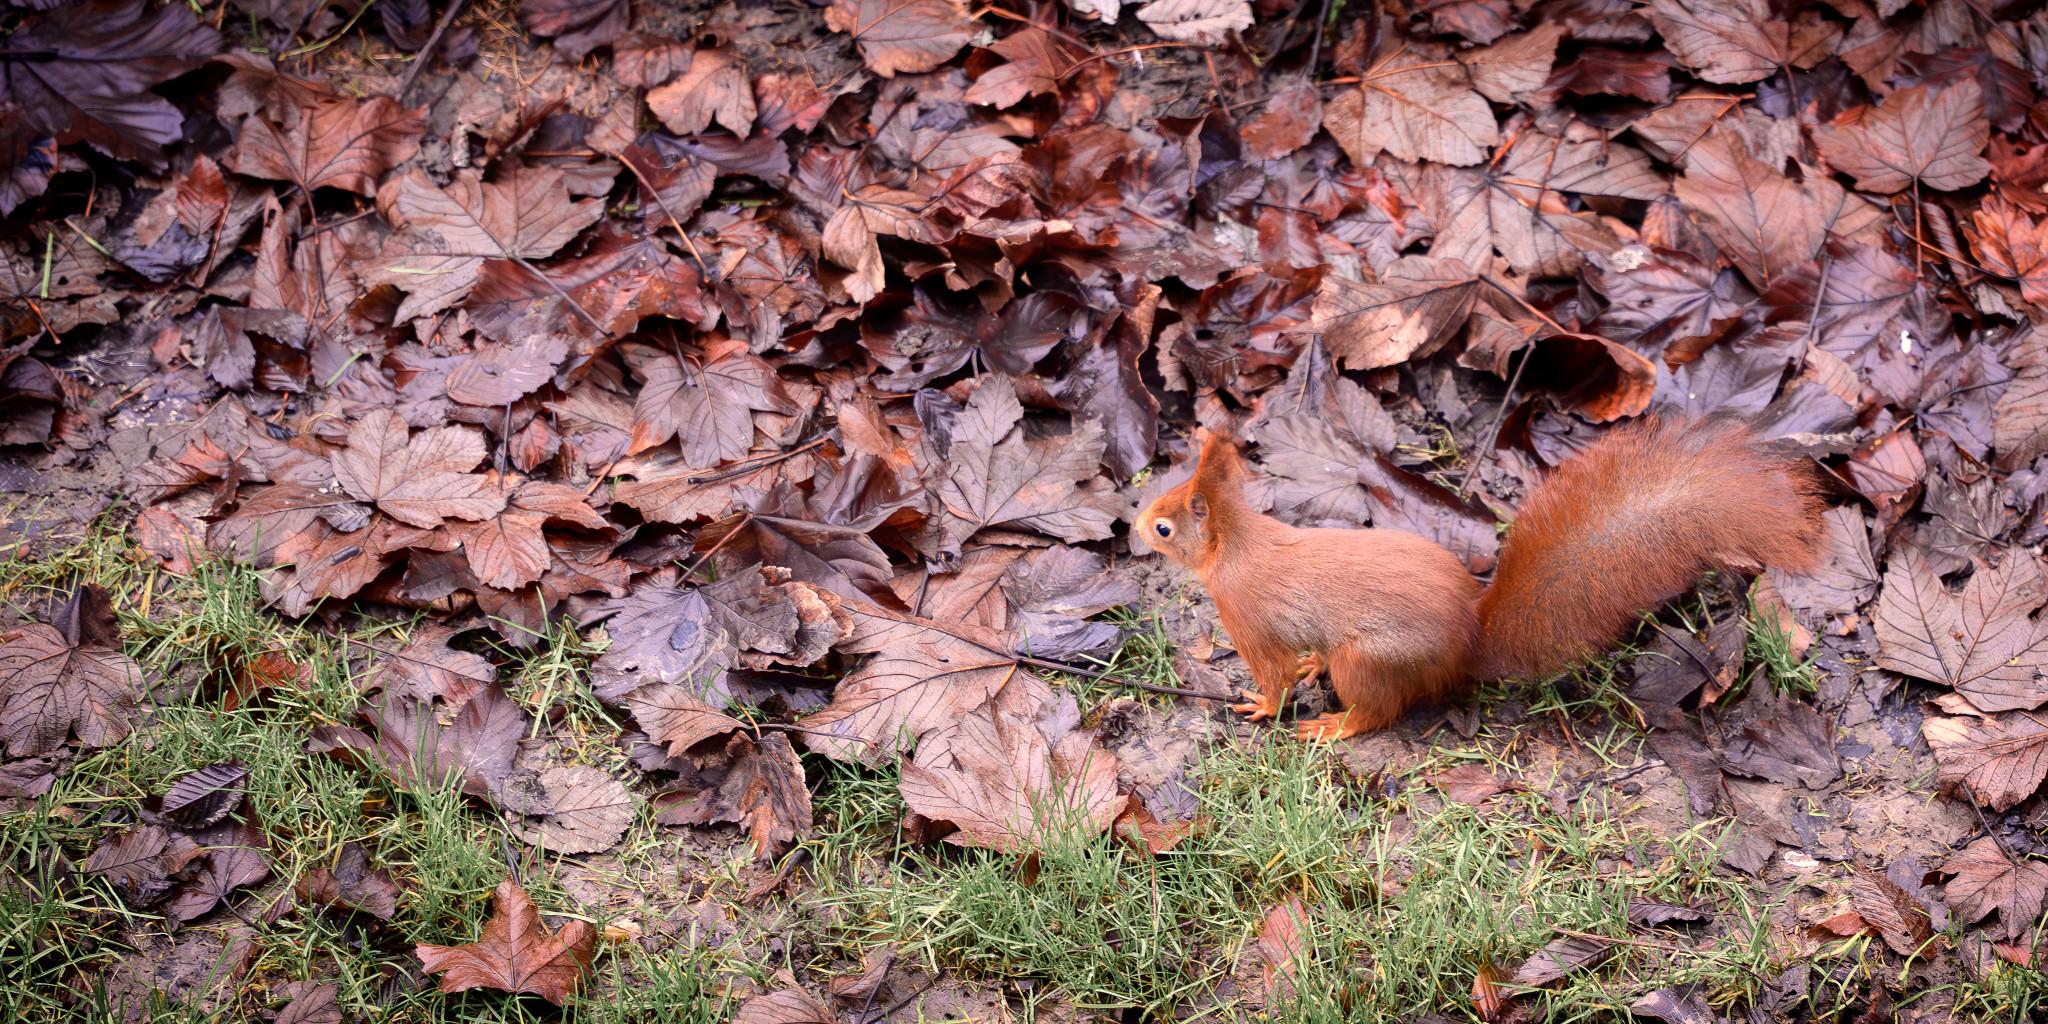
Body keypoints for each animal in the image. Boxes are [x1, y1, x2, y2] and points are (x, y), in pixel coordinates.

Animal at [1138, 419, 1826, 741]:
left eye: (1166, 527)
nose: (1136, 523)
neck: (1238, 544)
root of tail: (1467, 646)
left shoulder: (1245, 616)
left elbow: (1274, 676)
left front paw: (1263, 704)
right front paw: (1296, 673)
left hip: (1371, 661)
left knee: (1376, 710)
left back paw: (1335, 725)